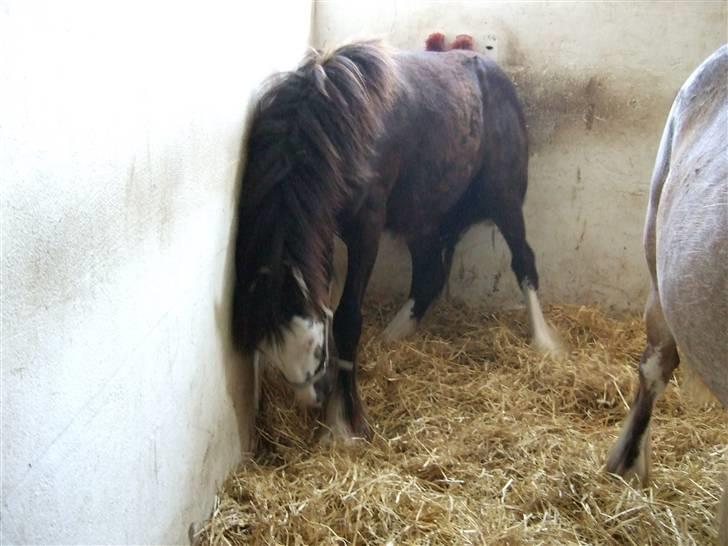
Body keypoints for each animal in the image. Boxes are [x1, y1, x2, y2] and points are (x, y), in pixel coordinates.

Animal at [231, 38, 561, 439]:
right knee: (430, 277)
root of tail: (493, 72)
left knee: (524, 262)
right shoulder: (323, 230)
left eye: (316, 348)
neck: (332, 125)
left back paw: (544, 342)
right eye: (269, 350)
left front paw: (343, 423)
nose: (314, 398)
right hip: (424, 217)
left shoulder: (366, 229)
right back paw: (394, 335)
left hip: (504, 200)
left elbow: (348, 318)